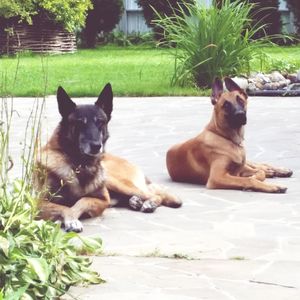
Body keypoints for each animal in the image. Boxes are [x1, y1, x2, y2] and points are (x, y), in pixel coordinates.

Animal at [35, 84, 180, 232]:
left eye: (100, 122)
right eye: (80, 123)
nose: (96, 146)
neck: (80, 165)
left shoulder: (103, 200)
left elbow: (81, 201)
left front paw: (71, 219)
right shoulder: (38, 203)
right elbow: (64, 207)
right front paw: (69, 220)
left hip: (115, 181)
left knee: (155, 195)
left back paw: (149, 203)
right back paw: (135, 201)